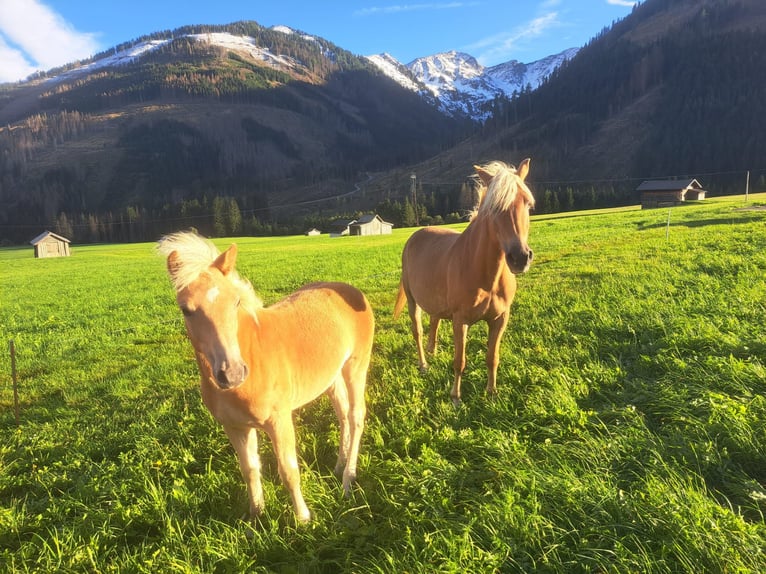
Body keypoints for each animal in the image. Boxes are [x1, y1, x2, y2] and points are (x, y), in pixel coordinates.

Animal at [158, 232, 376, 524]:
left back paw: (347, 479)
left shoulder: (279, 421)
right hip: (332, 377)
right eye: (185, 309)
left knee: (355, 416)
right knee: (342, 414)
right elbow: (250, 471)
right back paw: (339, 465)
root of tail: (351, 291)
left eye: (236, 302)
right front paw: (256, 518)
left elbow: (289, 471)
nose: (232, 373)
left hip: (356, 366)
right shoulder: (235, 427)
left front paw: (303, 519)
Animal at [396, 160, 536, 408]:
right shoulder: (460, 321)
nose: (520, 257)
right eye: (494, 208)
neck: (485, 275)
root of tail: (416, 235)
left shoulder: (500, 319)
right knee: (418, 331)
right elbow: (459, 361)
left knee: (434, 321)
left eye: (527, 203)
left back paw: (432, 352)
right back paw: (423, 365)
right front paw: (455, 397)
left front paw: (492, 393)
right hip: (413, 302)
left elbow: (492, 357)